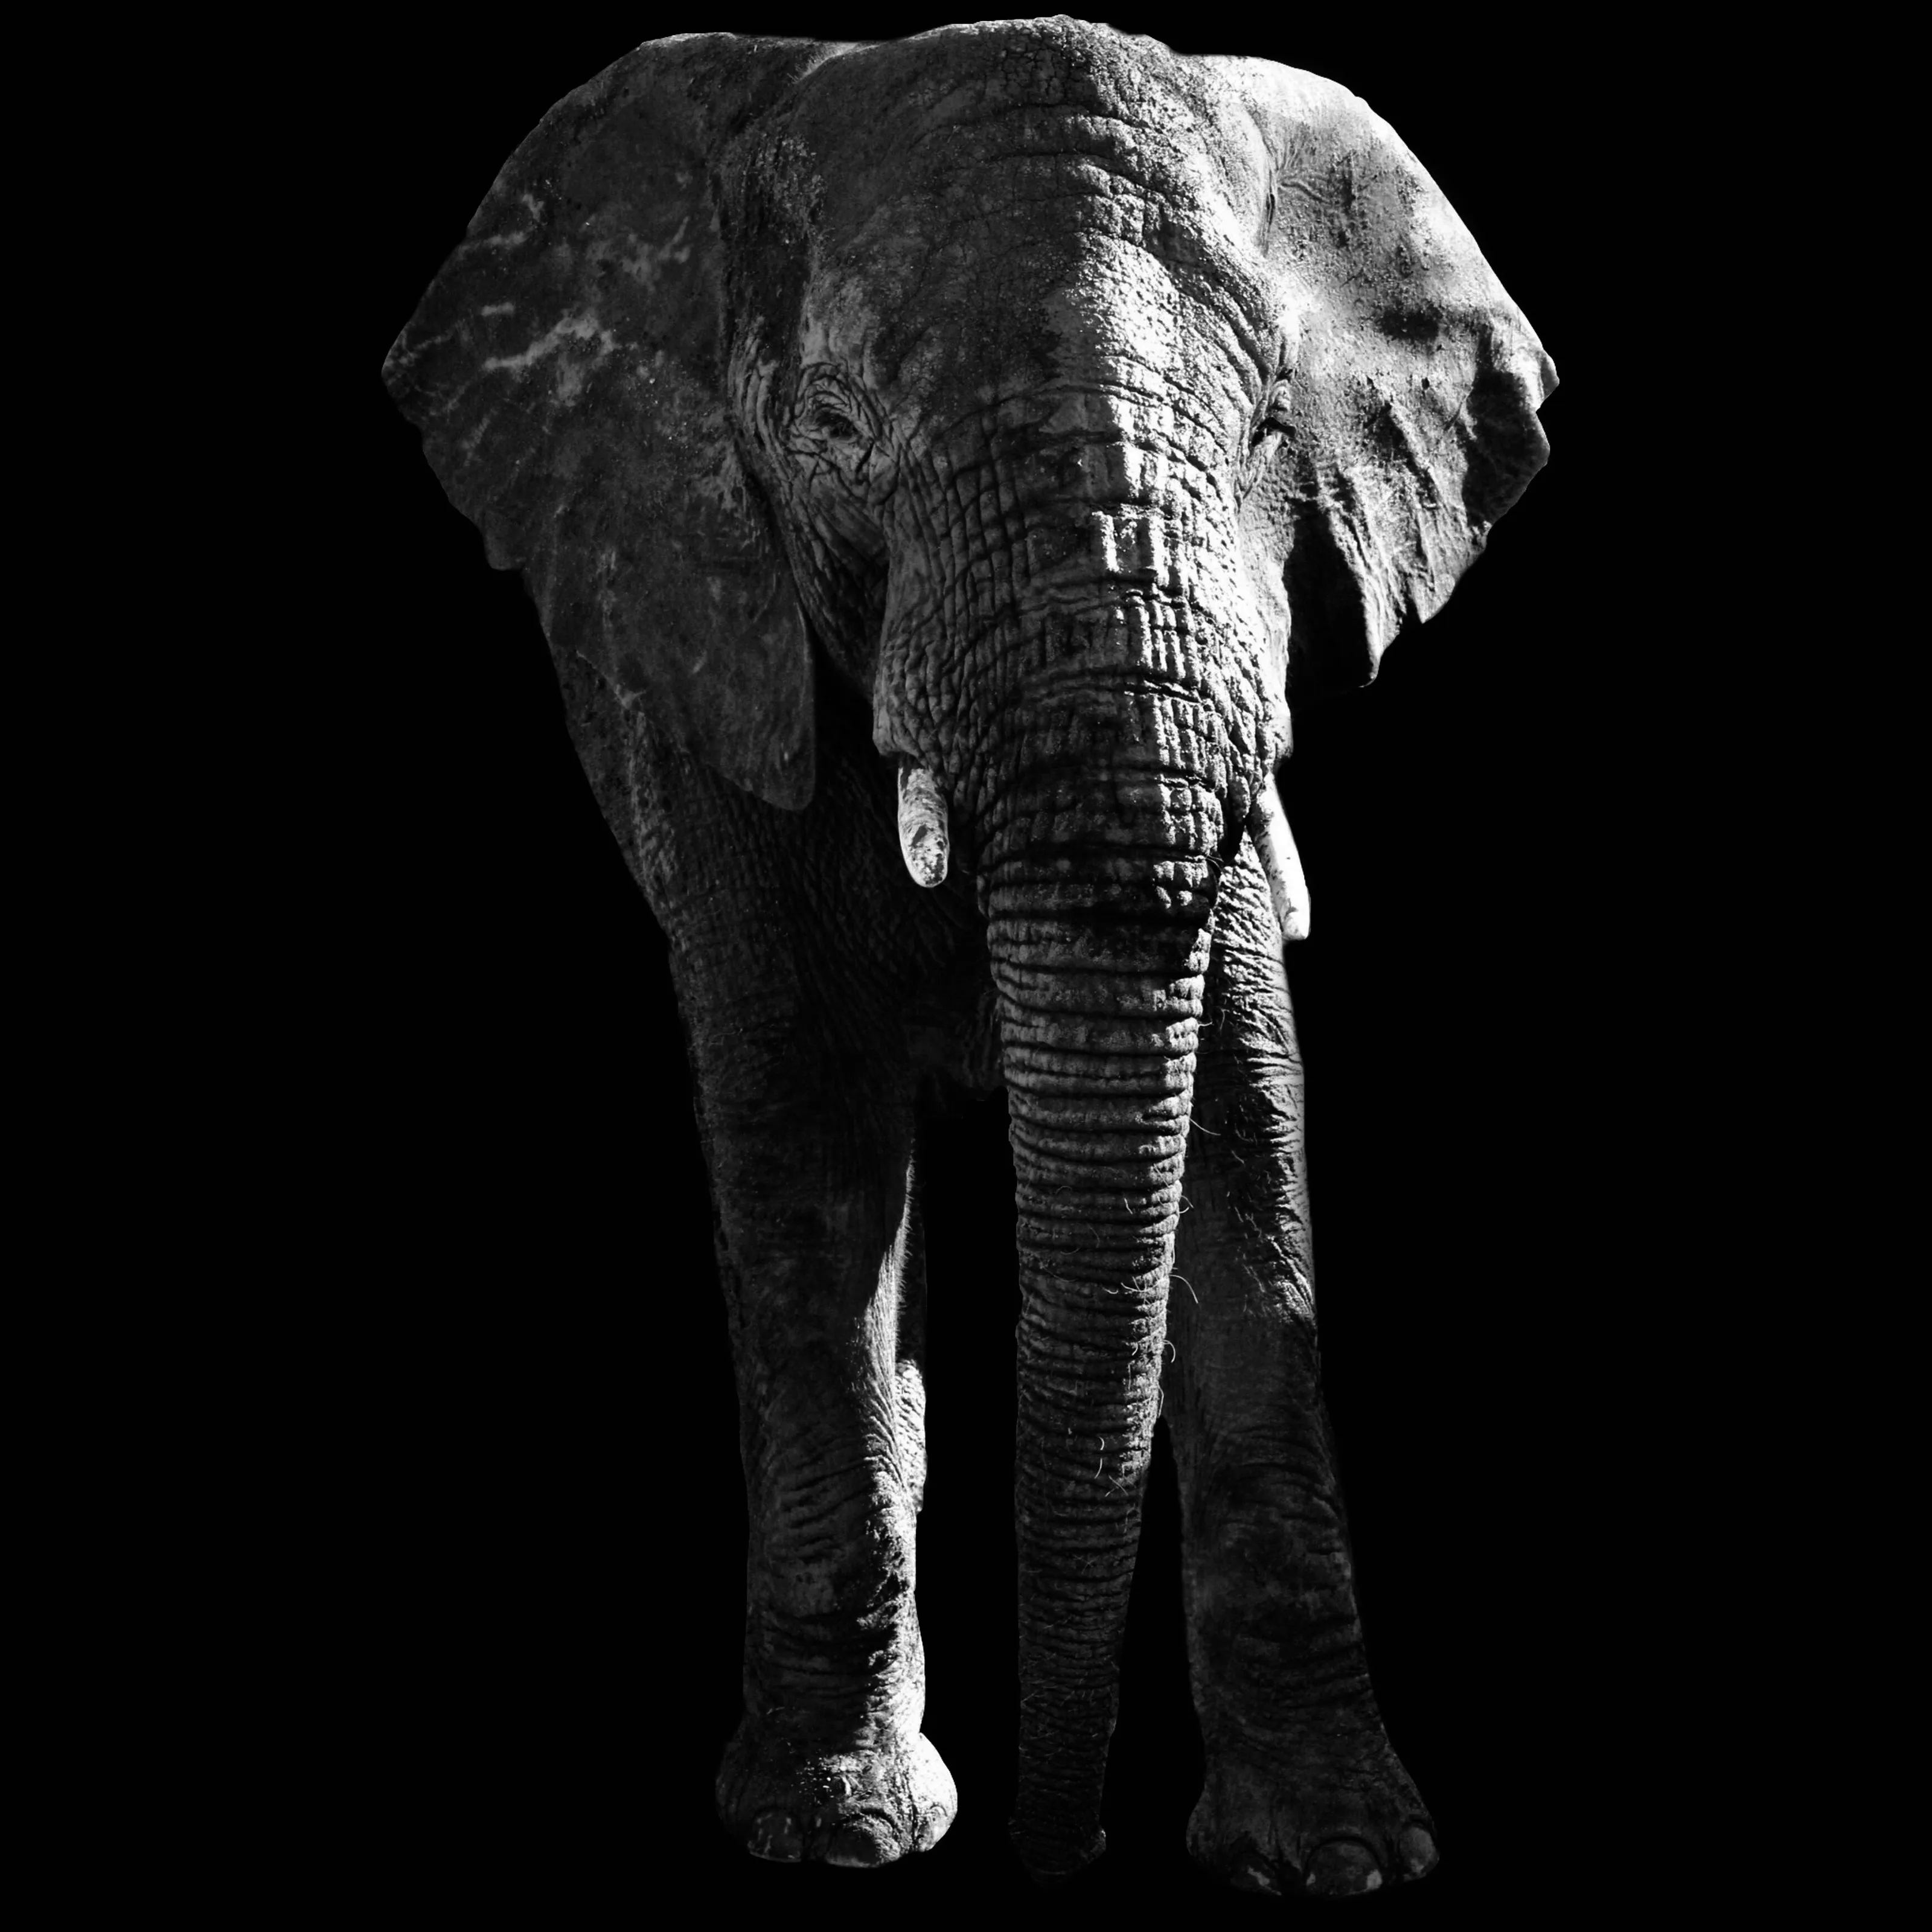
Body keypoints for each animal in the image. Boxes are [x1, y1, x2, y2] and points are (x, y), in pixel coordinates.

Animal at [383, 17, 1554, 1899]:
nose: (1056, 1851)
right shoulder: (700, 654)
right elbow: (801, 1140)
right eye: (833, 431)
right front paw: (838, 1827)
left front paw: (1340, 1855)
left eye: (1269, 428)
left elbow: (1246, 1120)